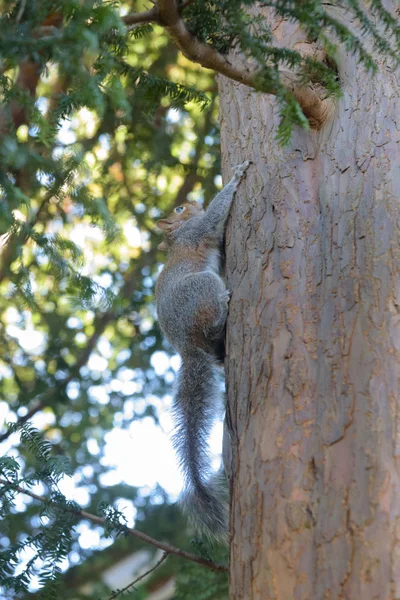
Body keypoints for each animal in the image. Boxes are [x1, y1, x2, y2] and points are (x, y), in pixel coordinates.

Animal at [154, 159, 250, 540]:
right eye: (179, 210)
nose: (191, 199)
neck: (175, 235)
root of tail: (186, 346)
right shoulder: (197, 230)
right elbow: (213, 219)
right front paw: (236, 178)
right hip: (203, 287)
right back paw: (224, 304)